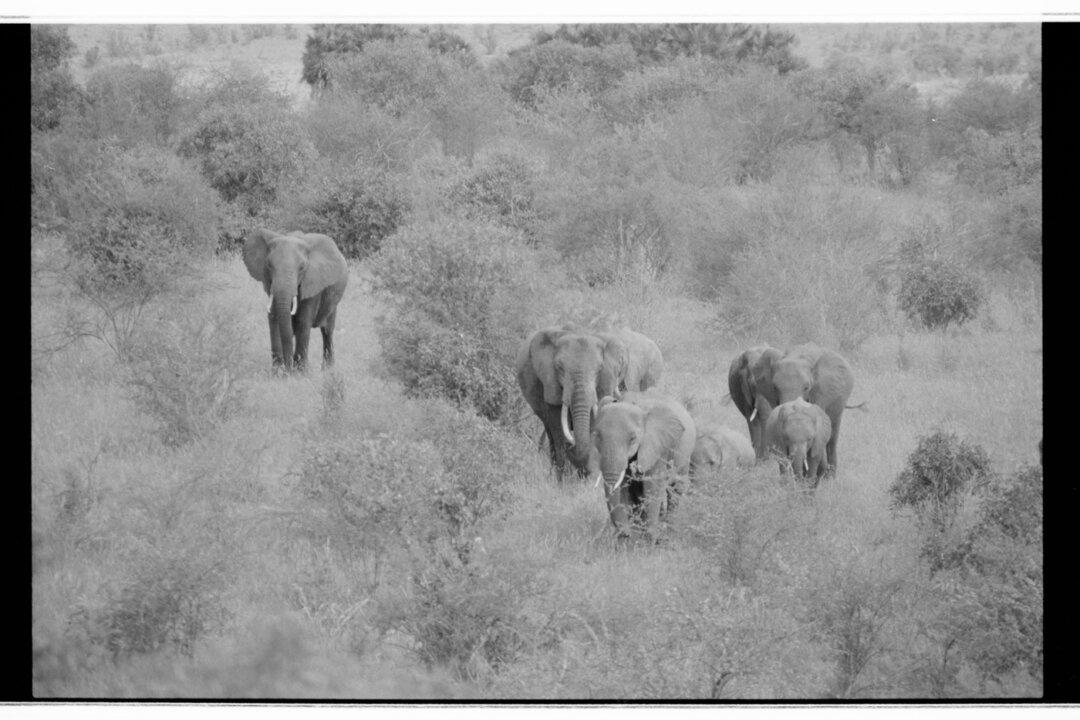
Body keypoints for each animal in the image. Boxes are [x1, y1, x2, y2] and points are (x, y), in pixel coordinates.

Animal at [242, 229, 348, 372]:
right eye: (269, 265)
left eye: (302, 267)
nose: (289, 368)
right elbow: (274, 319)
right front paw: (277, 372)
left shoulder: (312, 283)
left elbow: (303, 322)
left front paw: (300, 372)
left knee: (327, 331)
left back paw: (328, 370)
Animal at [516, 325, 663, 480]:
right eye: (559, 367)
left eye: (599, 369)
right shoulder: (549, 383)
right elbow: (557, 427)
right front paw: (562, 482)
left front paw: (587, 479)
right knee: (550, 433)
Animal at [590, 389, 695, 540]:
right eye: (596, 436)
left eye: (633, 438)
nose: (625, 533)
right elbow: (624, 488)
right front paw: (629, 538)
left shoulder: (657, 445)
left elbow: (653, 485)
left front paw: (651, 539)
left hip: (685, 453)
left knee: (676, 487)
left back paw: (670, 530)